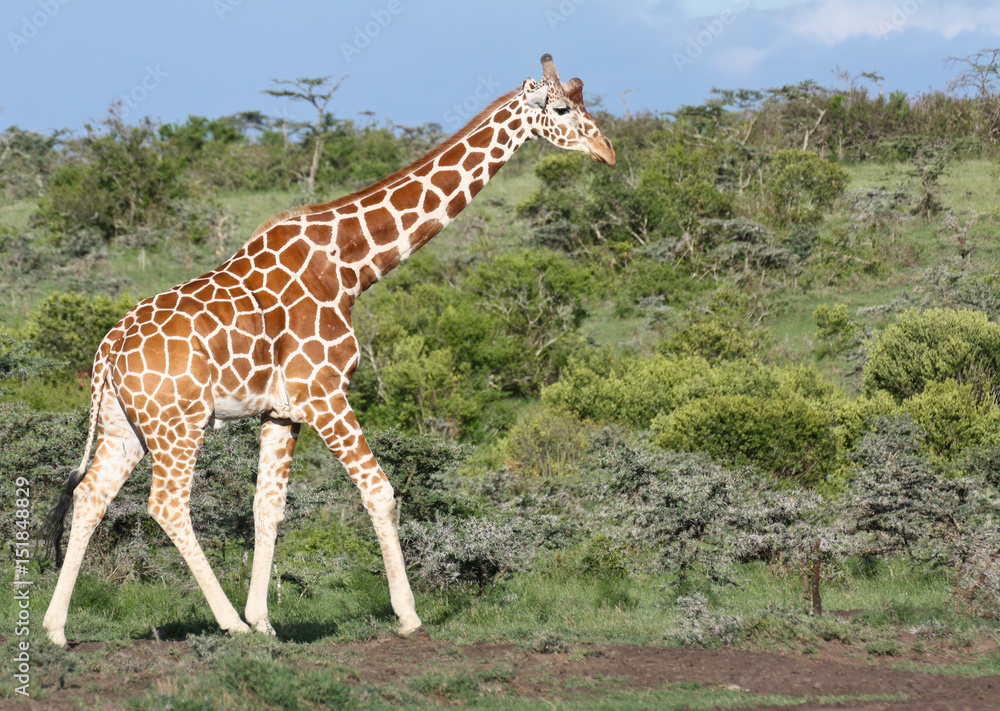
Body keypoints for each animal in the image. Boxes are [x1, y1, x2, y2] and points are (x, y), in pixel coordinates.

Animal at [42, 54, 615, 646]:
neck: (351, 266)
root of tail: (106, 352)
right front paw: (407, 616)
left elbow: (268, 507)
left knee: (90, 495)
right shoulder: (324, 393)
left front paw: (264, 619)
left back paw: (56, 629)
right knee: (167, 504)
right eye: (562, 109)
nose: (607, 152)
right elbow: (381, 492)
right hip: (178, 422)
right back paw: (226, 623)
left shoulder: (282, 411)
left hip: (125, 424)